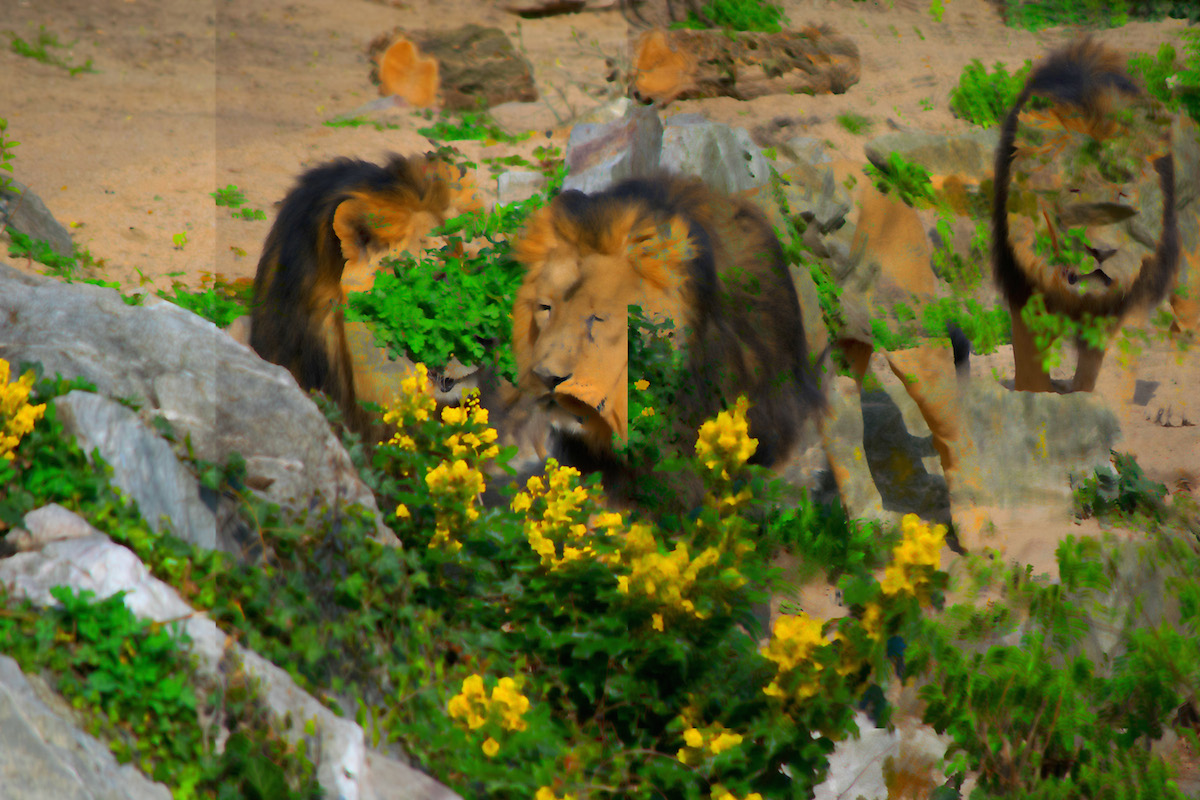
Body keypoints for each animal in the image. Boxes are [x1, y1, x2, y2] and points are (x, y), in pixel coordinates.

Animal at [993, 37, 1181, 392]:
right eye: (1074, 190)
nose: (1102, 252)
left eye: (1122, 193)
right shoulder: (1023, 287)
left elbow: (1096, 372)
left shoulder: (1119, 304)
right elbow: (1030, 366)